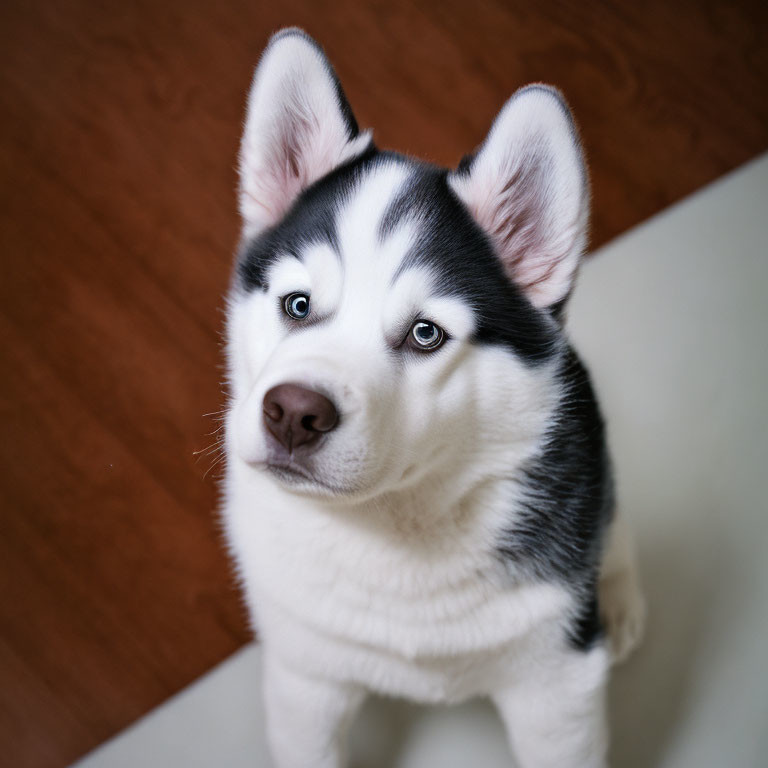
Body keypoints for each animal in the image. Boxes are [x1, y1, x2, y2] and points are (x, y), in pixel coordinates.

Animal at [220, 27, 640, 764]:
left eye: (425, 334)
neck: (393, 528)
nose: (293, 414)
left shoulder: (557, 683)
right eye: (297, 304)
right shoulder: (304, 676)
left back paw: (618, 598)